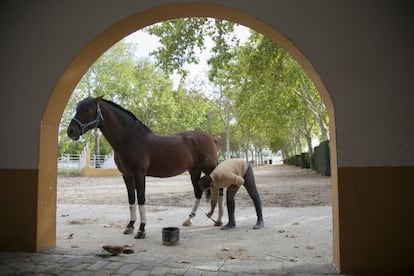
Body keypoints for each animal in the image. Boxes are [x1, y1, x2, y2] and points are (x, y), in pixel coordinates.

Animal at [67, 96, 223, 238]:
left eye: (87, 109)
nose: (71, 131)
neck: (129, 139)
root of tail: (211, 137)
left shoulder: (139, 174)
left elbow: (141, 199)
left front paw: (141, 229)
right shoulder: (127, 175)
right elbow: (131, 200)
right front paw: (130, 226)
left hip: (209, 168)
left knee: (219, 190)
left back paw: (219, 221)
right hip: (194, 170)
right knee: (198, 192)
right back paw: (189, 219)